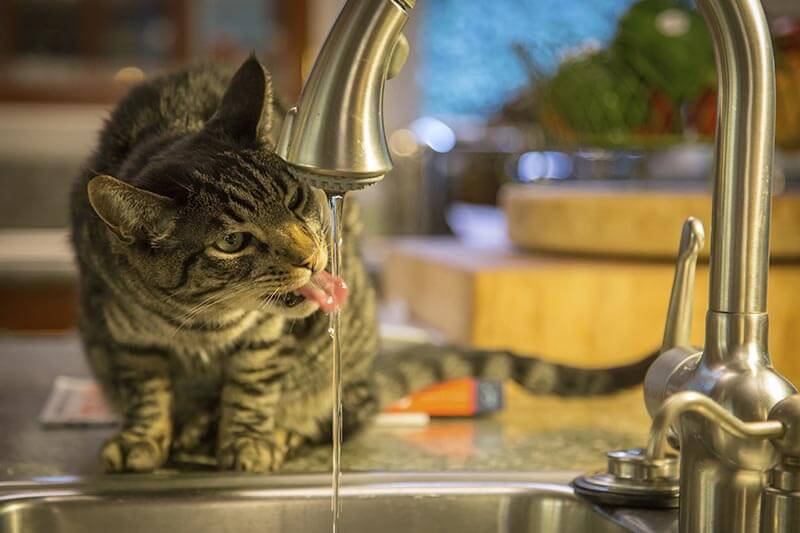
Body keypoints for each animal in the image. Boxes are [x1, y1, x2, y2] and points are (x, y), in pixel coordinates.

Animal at [70, 55, 656, 474]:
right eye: (233, 242)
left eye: (294, 198)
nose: (311, 258)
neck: (202, 324)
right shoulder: (128, 336)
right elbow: (145, 391)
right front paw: (144, 439)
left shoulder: (266, 339)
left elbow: (252, 388)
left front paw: (248, 439)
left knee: (340, 411)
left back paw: (271, 431)